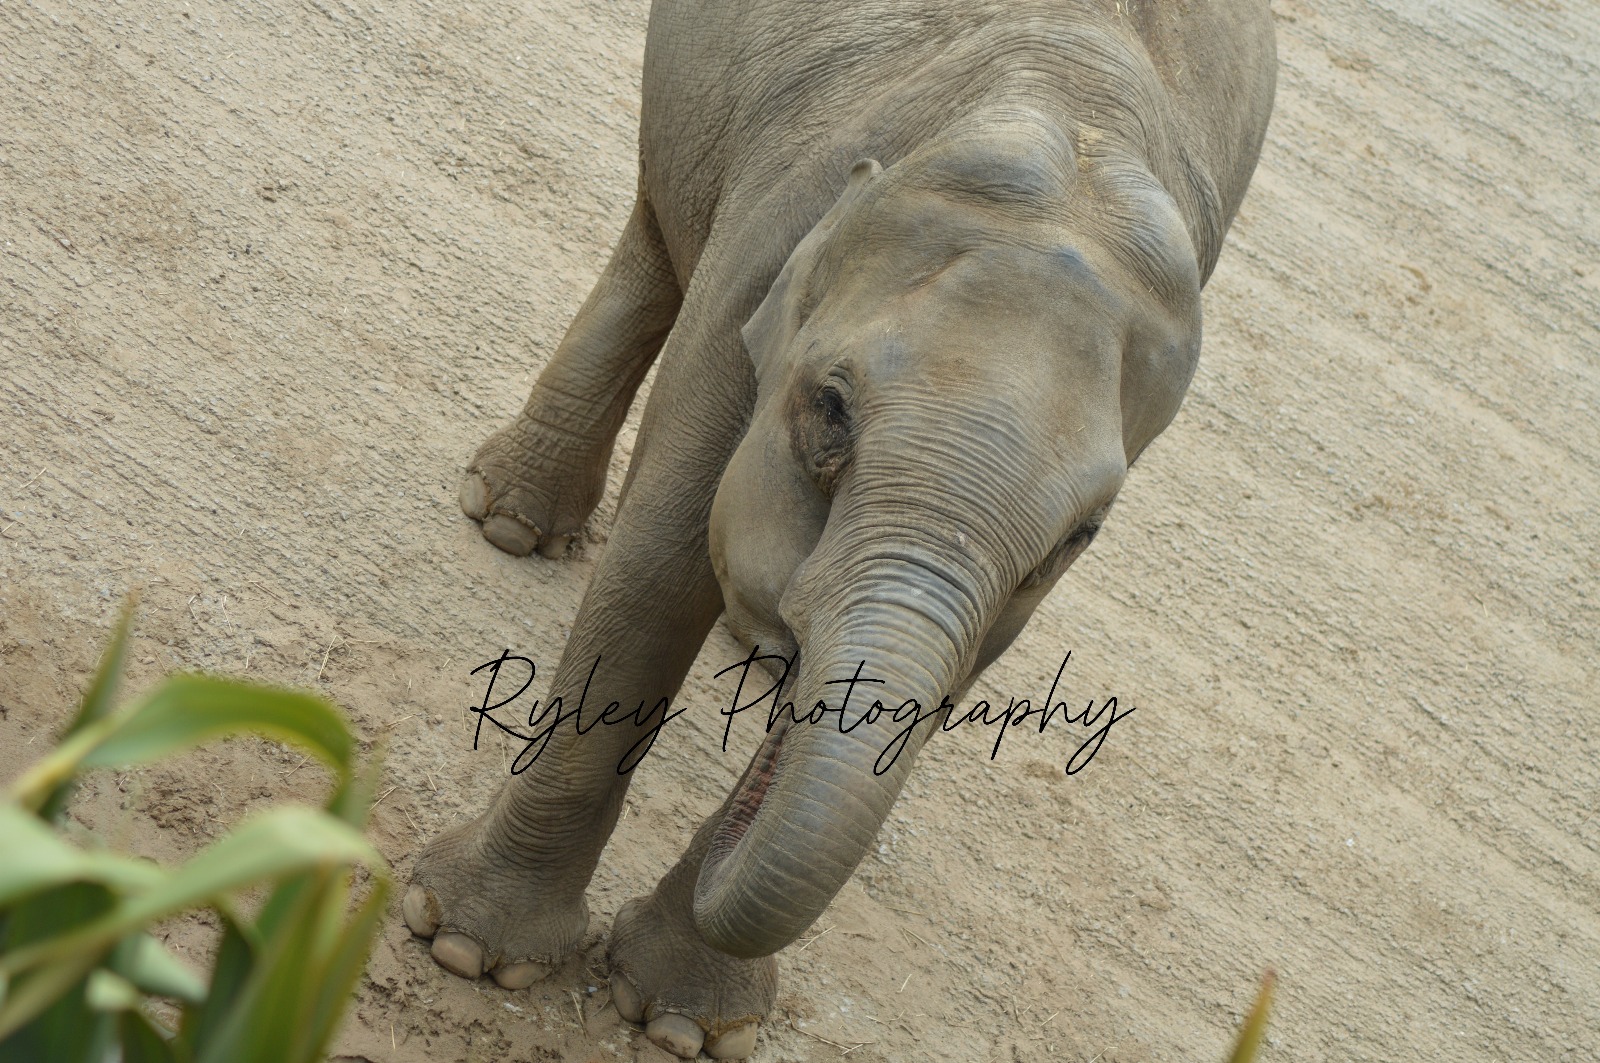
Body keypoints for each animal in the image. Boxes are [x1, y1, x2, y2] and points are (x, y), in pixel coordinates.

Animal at [403, 0, 1276, 1057]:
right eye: (829, 409)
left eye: (1082, 536)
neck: (1067, 131)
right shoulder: (763, 266)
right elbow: (656, 574)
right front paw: (469, 950)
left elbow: (944, 681)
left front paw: (686, 1025)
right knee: (656, 241)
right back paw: (512, 524)